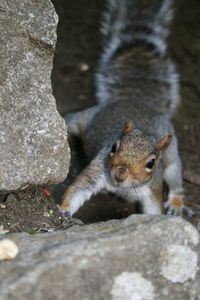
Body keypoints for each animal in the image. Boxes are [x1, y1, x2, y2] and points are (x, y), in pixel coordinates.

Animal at [59, 0, 194, 218]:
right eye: (114, 147)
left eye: (151, 163)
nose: (120, 174)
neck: (123, 187)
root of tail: (136, 100)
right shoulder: (98, 170)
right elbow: (79, 188)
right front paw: (63, 210)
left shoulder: (152, 190)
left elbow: (154, 211)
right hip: (84, 118)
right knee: (72, 121)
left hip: (172, 154)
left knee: (175, 176)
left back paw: (176, 202)